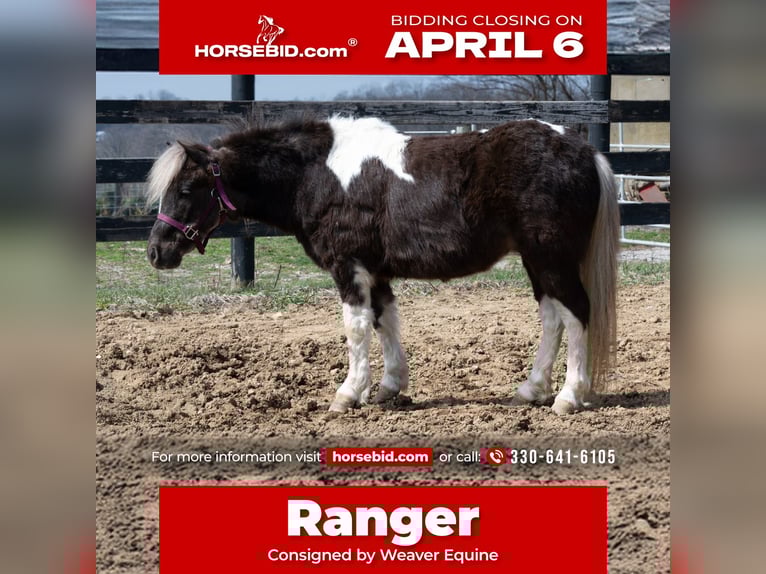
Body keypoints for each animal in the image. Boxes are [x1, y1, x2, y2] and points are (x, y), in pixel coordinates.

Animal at [146, 116, 620, 416]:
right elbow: (384, 321)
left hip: (552, 258)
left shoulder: (349, 267)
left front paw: (348, 394)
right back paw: (532, 389)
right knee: (552, 318)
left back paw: (568, 397)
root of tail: (584, 150)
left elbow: (356, 328)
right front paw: (390, 387)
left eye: (186, 189)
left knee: (576, 314)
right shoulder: (376, 271)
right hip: (538, 262)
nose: (156, 251)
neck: (316, 175)